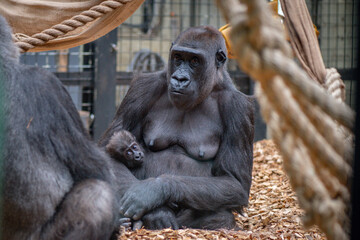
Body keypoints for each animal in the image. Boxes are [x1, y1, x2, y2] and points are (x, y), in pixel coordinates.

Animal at [100, 25, 255, 230]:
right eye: (178, 57)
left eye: (195, 61)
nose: (180, 79)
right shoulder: (143, 88)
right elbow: (107, 150)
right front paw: (157, 211)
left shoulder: (239, 108)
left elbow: (234, 181)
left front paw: (154, 191)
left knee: (220, 217)